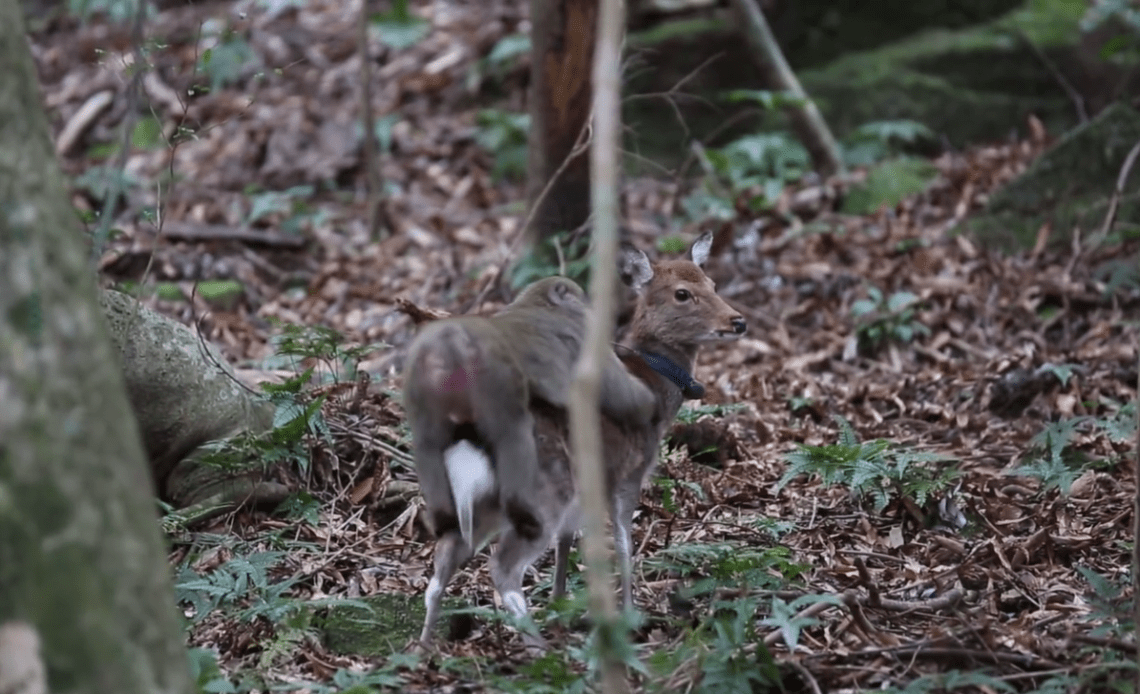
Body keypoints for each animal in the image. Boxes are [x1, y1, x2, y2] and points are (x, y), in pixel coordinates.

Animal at [402, 275, 657, 544]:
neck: (538, 302)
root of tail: (450, 348)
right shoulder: (581, 332)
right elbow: (615, 390)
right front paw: (649, 406)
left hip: (420, 384)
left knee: (427, 445)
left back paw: (442, 518)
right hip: (493, 378)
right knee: (512, 433)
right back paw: (522, 514)